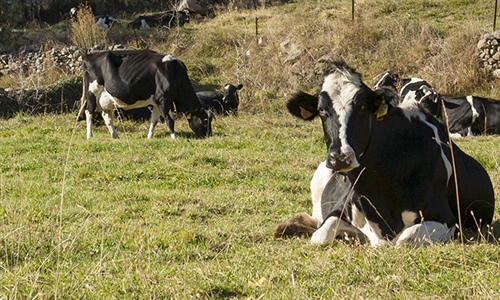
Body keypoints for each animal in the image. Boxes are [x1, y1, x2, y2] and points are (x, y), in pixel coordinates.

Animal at [78, 49, 213, 139]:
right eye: (205, 120)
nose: (209, 136)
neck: (173, 72)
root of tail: (88, 55)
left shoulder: (157, 102)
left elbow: (154, 120)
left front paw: (149, 137)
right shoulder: (163, 99)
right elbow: (169, 119)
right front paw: (174, 138)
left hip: (106, 98)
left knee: (107, 116)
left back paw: (115, 136)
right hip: (93, 91)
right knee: (89, 112)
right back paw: (90, 136)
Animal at [280, 61, 494, 246]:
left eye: (363, 107)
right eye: (322, 110)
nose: (340, 157)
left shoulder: (445, 218)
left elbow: (404, 240)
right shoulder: (339, 208)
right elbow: (320, 235)